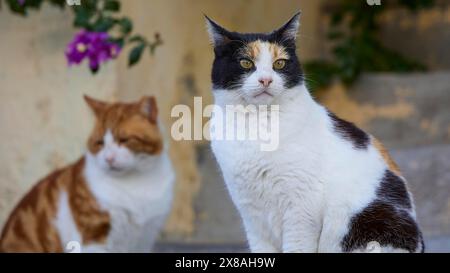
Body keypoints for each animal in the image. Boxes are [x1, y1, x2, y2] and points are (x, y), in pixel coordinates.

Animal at [0, 95, 174, 251]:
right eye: (100, 143)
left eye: (124, 139)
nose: (109, 158)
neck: (136, 181)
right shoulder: (94, 235)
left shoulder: (145, 237)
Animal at [206, 12, 424, 251]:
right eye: (246, 63)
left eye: (279, 64)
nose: (266, 79)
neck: (257, 124)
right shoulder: (252, 215)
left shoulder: (301, 210)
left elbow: (297, 245)